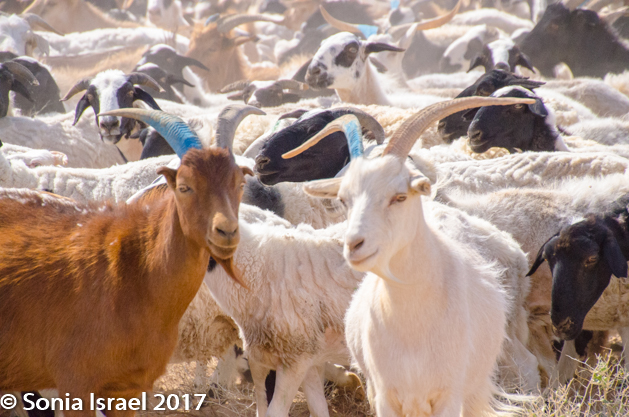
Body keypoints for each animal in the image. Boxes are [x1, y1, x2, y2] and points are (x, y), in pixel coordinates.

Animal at [299, 97, 537, 414]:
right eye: (344, 200)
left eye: (399, 197)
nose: (354, 244)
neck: (413, 320)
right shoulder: (384, 394)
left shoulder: (449, 394)